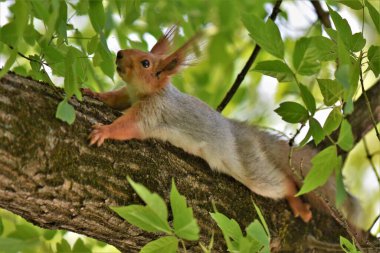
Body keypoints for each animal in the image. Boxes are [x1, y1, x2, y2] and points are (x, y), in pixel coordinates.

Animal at [82, 25, 362, 226]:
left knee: (283, 183)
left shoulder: (154, 112)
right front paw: (92, 92)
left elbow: (130, 127)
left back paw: (297, 203)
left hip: (253, 170)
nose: (119, 53)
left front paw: (105, 131)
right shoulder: (129, 96)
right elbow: (115, 98)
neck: (149, 92)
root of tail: (248, 134)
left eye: (146, 63)